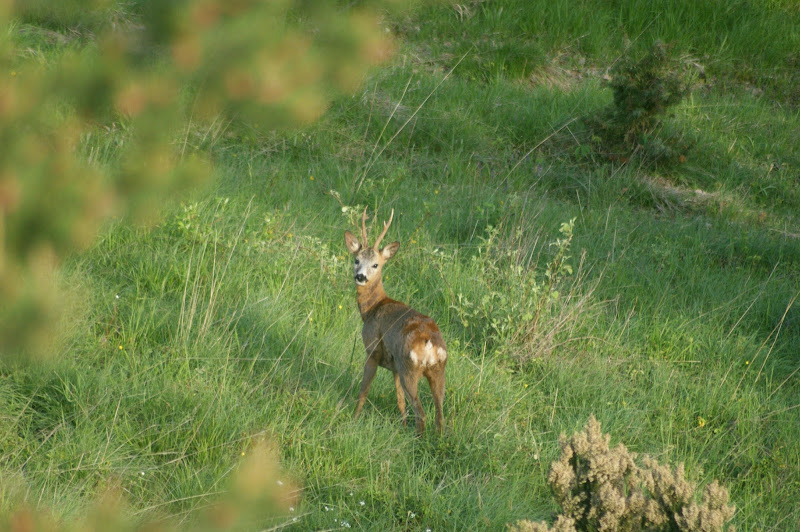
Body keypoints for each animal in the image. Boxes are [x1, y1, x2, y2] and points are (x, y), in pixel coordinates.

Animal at [342, 207, 446, 432]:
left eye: (375, 264)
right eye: (356, 260)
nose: (360, 276)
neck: (374, 308)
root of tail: (430, 344)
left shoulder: (372, 350)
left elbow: (363, 391)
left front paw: (354, 419)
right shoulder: (395, 367)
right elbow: (400, 401)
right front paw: (402, 424)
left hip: (410, 368)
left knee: (421, 413)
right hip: (436, 370)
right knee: (440, 414)